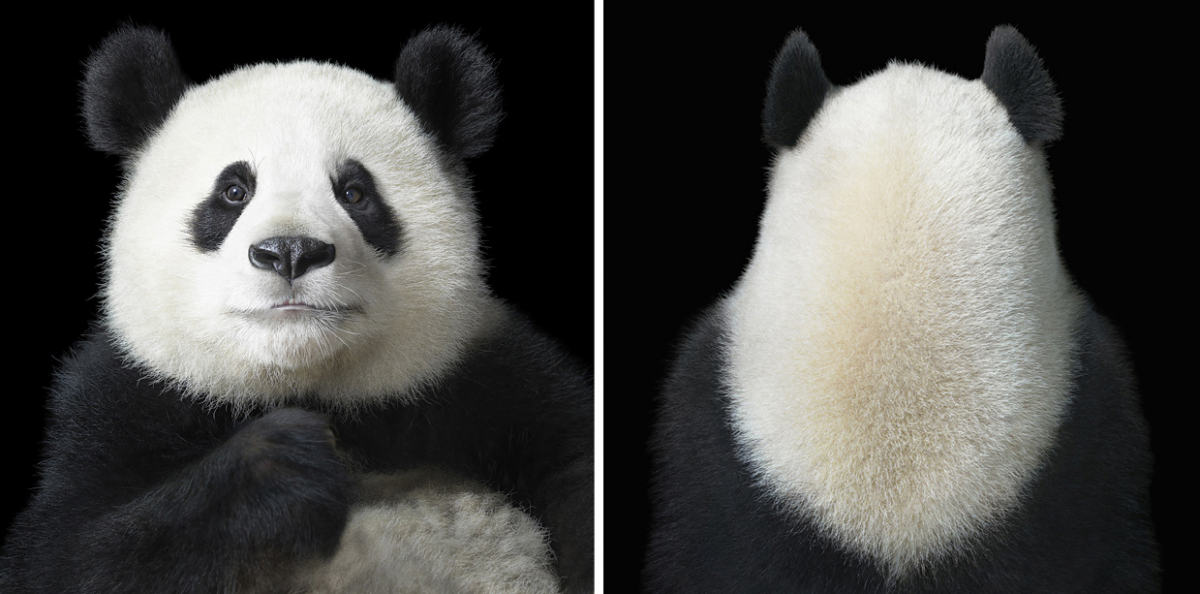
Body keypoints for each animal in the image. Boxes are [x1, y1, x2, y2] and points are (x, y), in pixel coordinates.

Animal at [0, 25, 592, 594]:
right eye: (233, 192)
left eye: (354, 193)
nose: (290, 251)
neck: (307, 382)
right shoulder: (121, 399)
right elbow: (62, 554)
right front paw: (286, 460)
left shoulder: (490, 377)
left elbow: (576, 467)